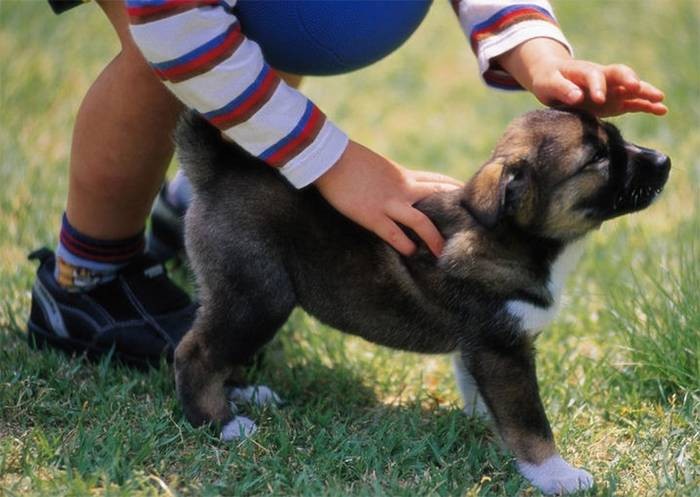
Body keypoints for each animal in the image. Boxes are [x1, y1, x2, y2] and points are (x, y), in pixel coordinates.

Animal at [172, 108, 668, 492]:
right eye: (598, 158)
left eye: (616, 138)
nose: (663, 160)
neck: (519, 239)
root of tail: (218, 169)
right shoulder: (503, 350)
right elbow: (530, 422)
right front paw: (557, 475)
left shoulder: (480, 347)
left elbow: (483, 395)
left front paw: (482, 424)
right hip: (259, 296)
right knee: (195, 350)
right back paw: (221, 424)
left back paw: (244, 392)